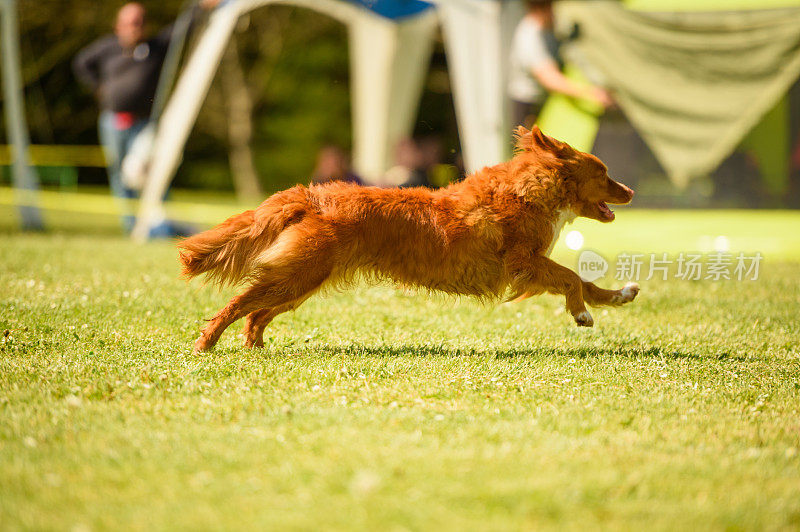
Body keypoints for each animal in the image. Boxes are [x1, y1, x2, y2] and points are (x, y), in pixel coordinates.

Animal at [180, 127, 636, 354]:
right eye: (604, 173)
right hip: (298, 275)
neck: (528, 190)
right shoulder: (524, 264)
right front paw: (581, 314)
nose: (631, 191)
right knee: (240, 303)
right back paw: (207, 342)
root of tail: (310, 197)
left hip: (301, 281)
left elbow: (587, 282)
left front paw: (617, 297)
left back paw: (255, 347)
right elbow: (572, 279)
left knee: (257, 313)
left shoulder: (531, 266)